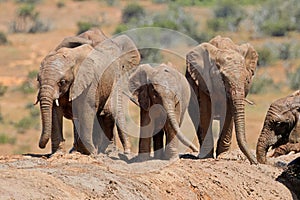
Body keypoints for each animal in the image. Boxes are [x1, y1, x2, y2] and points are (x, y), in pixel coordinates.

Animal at [185, 35, 258, 164]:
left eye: (247, 80)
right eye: (222, 78)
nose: (255, 162)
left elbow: (228, 114)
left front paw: (224, 156)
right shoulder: (202, 80)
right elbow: (205, 112)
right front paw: (207, 157)